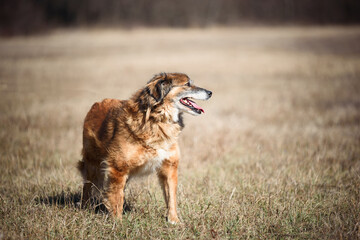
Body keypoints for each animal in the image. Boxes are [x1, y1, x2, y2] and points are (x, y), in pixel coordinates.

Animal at [76, 72, 211, 223]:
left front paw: (174, 221)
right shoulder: (118, 168)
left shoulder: (169, 167)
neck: (158, 120)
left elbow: (171, 198)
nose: (210, 93)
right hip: (93, 164)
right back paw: (85, 207)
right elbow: (117, 197)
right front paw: (118, 222)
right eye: (187, 84)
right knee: (88, 186)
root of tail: (96, 104)